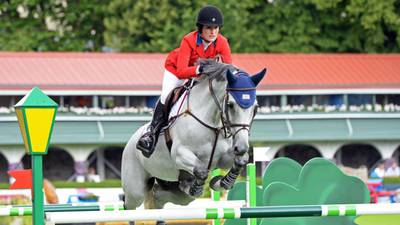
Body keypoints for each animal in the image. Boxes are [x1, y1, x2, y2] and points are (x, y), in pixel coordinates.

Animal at [120, 60, 268, 220]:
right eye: (230, 105)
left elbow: (241, 161)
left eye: (255, 108)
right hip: (135, 189)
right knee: (129, 206)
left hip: (174, 191)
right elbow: (201, 171)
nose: (241, 147)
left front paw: (221, 182)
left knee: (159, 197)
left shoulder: (224, 158)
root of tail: (130, 142)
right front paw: (197, 187)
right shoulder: (180, 154)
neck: (213, 122)